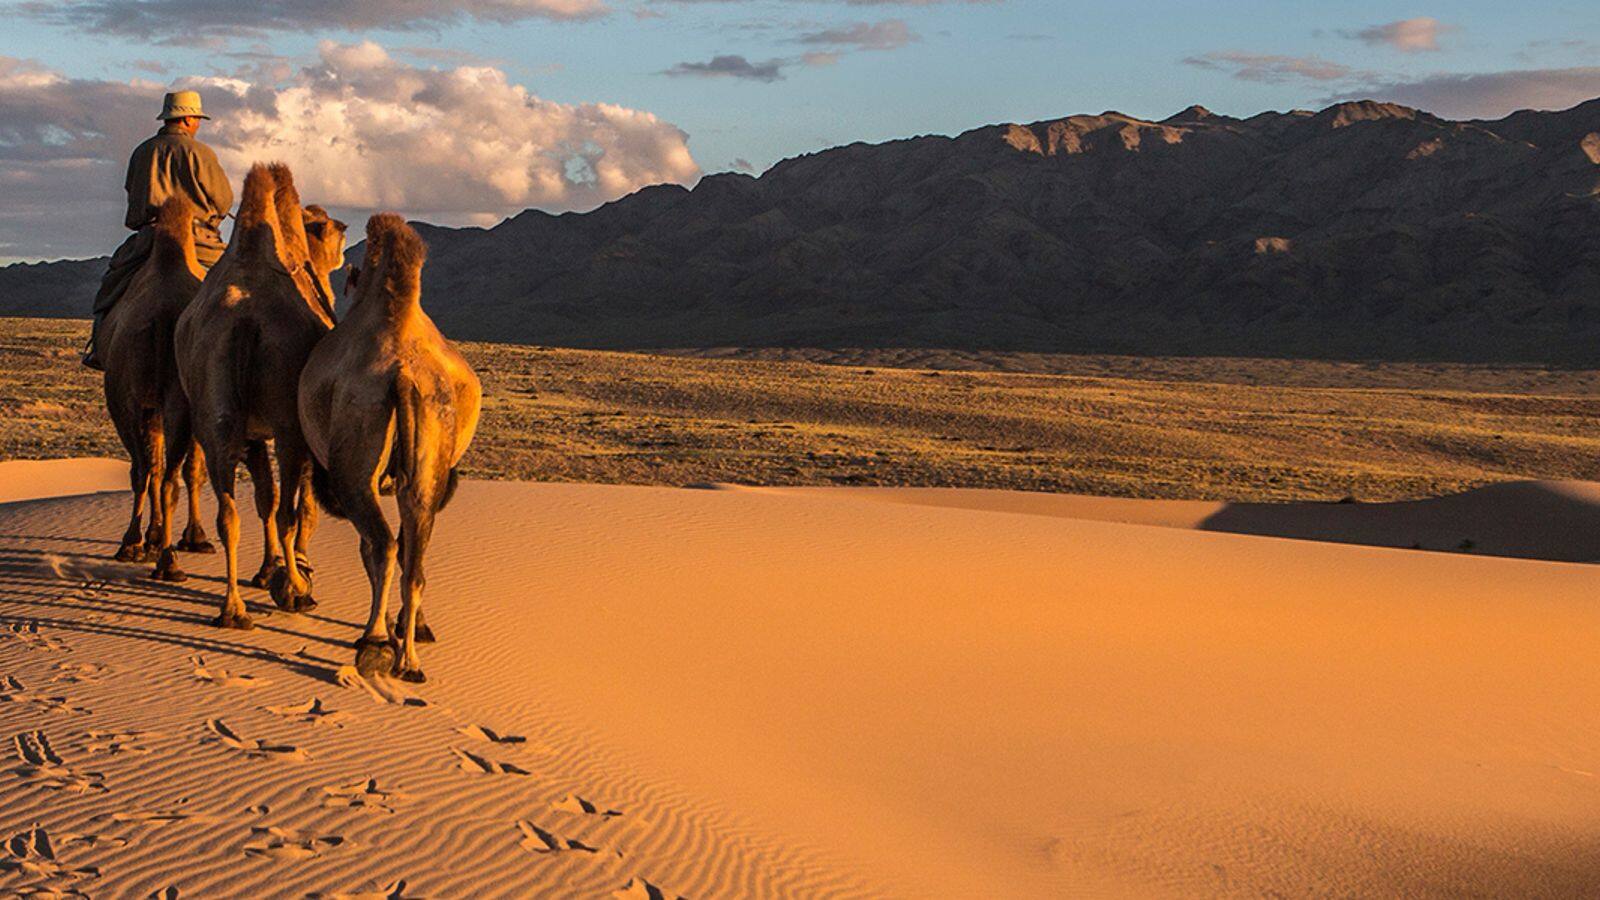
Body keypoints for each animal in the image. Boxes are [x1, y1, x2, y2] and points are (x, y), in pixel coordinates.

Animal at [98, 192, 216, 576]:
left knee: (150, 472)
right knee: (170, 474)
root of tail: (165, 316)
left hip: (133, 399)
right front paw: (186, 537)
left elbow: (149, 467)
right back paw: (170, 553)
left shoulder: (135, 403)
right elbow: (183, 468)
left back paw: (145, 550)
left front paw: (146, 539)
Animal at [175, 160, 347, 627]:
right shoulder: (299, 428)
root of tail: (243, 321)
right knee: (289, 511)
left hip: (216, 417)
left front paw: (267, 570)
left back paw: (232, 609)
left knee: (228, 512)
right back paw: (297, 592)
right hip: (288, 429)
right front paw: (293, 571)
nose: (344, 231)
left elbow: (263, 501)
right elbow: (298, 508)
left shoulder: (252, 435)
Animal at [300, 212, 480, 675]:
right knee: (412, 556)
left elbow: (368, 549)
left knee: (381, 544)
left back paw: (375, 641)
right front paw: (414, 626)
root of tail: (402, 375)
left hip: (355, 468)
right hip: (428, 464)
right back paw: (409, 658)